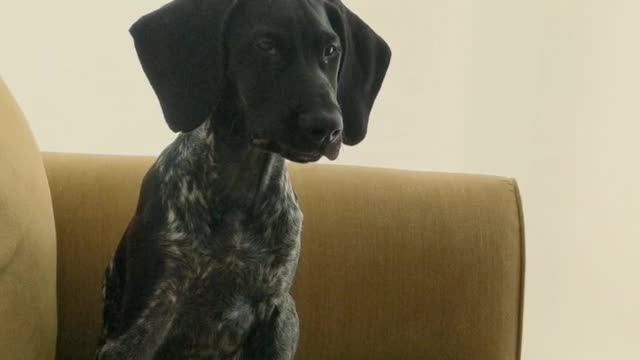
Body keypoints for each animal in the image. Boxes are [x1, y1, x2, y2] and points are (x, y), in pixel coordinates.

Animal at [95, 0, 390, 358]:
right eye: (264, 45)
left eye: (330, 51)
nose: (329, 128)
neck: (240, 187)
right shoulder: (141, 325)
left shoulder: (277, 313)